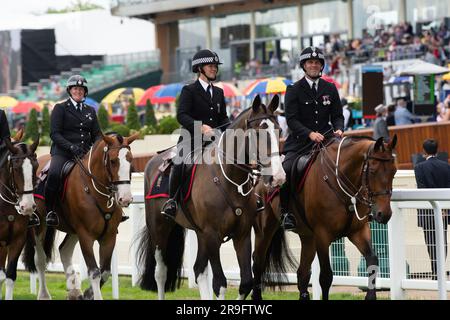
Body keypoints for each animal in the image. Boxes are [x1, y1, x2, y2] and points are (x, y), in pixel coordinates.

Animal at [22, 132, 139, 300]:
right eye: (113, 161)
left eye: (130, 160)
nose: (126, 199)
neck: (92, 188)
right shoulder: (86, 236)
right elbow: (95, 272)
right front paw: (94, 295)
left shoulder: (109, 237)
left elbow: (105, 272)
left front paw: (88, 293)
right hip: (39, 227)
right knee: (41, 260)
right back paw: (44, 294)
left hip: (73, 230)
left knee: (64, 250)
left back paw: (74, 290)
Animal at [135, 95, 286, 300]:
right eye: (257, 133)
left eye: (279, 130)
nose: (278, 177)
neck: (229, 179)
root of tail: (153, 161)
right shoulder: (213, 235)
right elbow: (220, 284)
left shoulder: (241, 234)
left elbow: (246, 282)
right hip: (160, 228)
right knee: (161, 272)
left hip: (200, 233)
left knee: (199, 269)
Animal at [253, 135, 398, 300]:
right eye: (373, 171)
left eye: (394, 171)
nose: (384, 214)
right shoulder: (322, 236)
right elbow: (326, 277)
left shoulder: (358, 231)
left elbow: (372, 261)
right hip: (265, 231)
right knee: (258, 263)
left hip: (308, 237)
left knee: (302, 273)